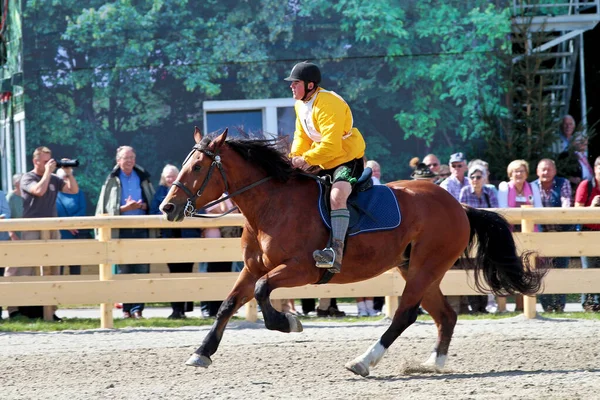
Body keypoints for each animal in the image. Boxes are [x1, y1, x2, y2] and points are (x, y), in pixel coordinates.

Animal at [162, 129, 548, 378]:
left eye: (198, 167)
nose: (168, 207)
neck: (272, 205)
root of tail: (458, 205)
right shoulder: (253, 268)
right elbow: (228, 303)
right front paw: (201, 353)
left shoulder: (300, 269)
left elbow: (261, 293)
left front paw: (288, 322)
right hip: (418, 269)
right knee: (445, 316)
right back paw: (433, 364)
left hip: (425, 268)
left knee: (405, 315)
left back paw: (364, 361)